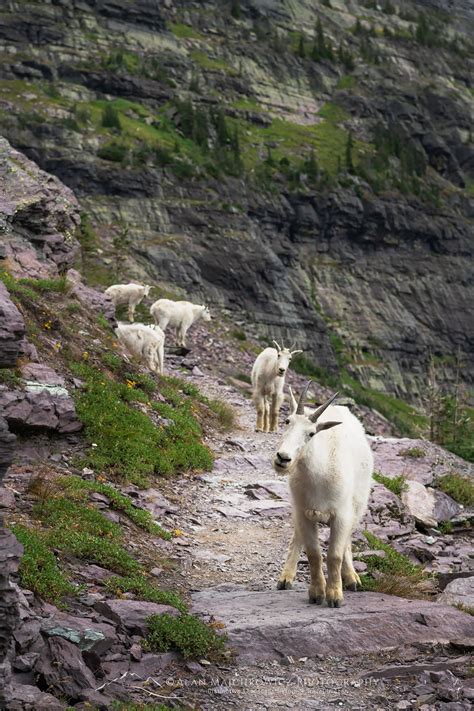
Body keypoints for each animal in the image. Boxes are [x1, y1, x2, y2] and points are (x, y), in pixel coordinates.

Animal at [274, 384, 374, 612]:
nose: (283, 458)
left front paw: (335, 596)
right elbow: (314, 554)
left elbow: (334, 555)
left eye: (311, 433)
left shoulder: (342, 516)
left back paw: (351, 578)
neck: (319, 476)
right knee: (297, 537)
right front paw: (317, 593)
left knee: (347, 542)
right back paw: (285, 578)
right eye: (287, 421)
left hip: (357, 507)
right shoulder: (303, 512)